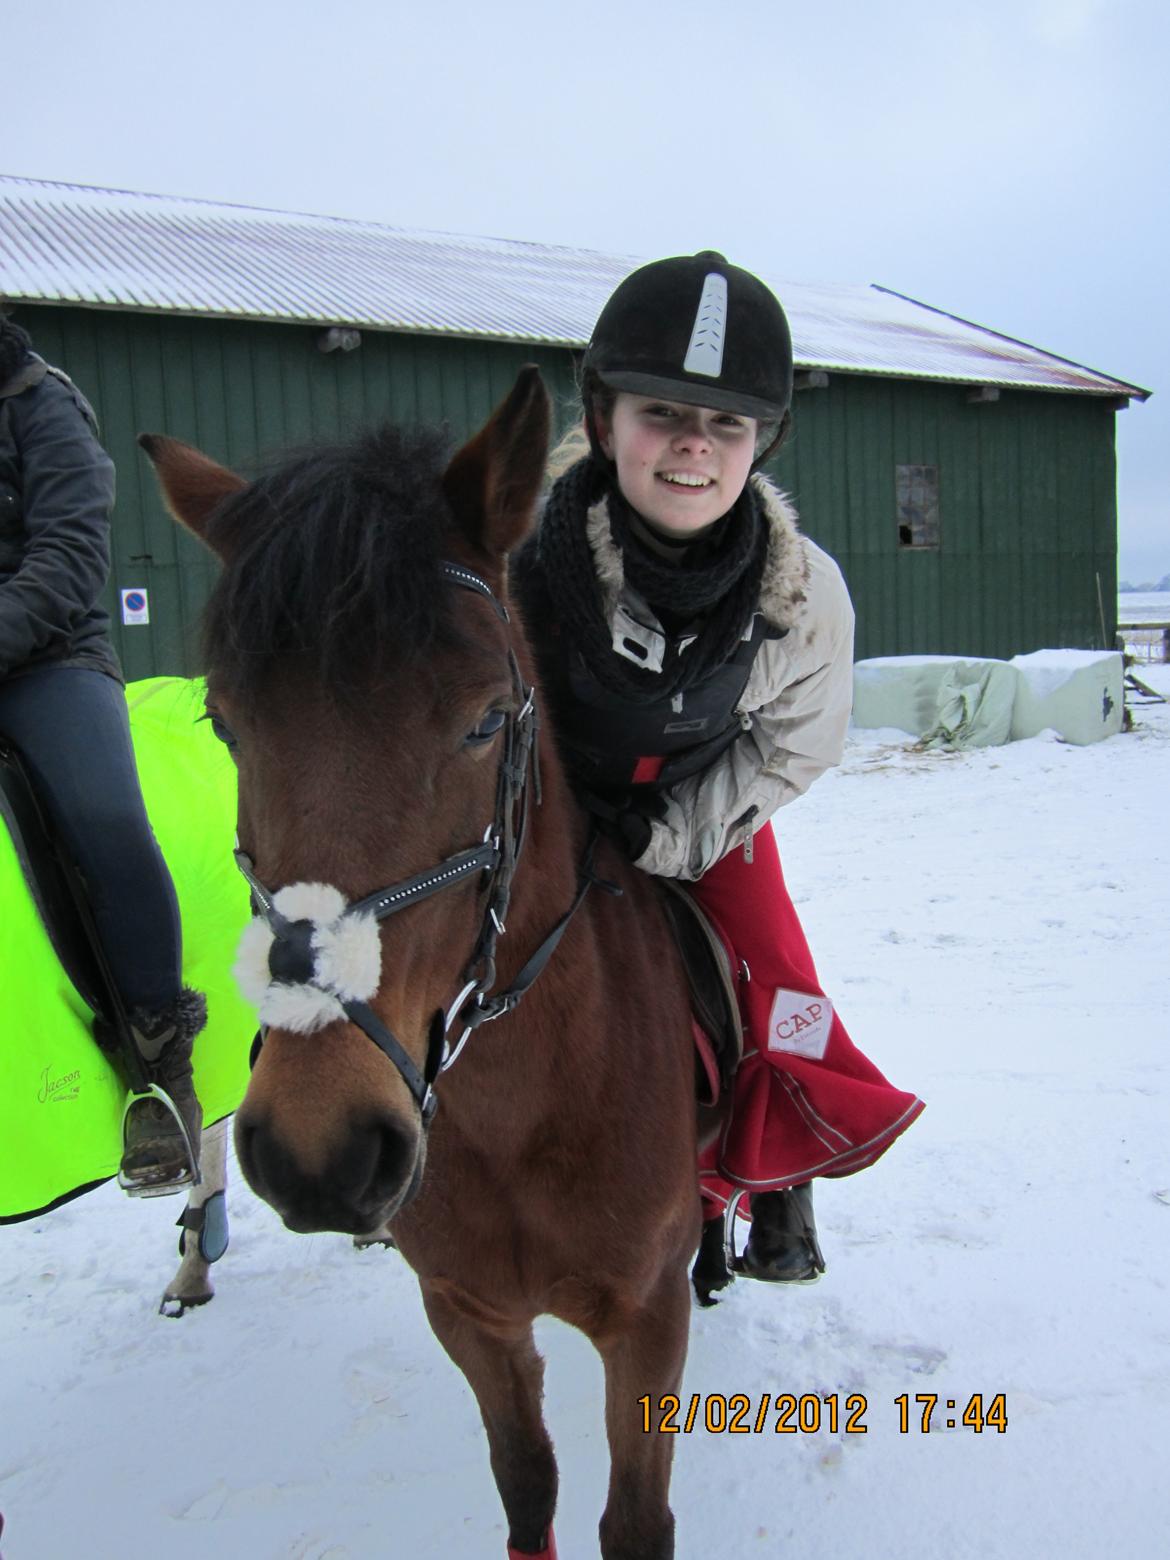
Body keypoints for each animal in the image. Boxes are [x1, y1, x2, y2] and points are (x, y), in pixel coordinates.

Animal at [144, 368, 714, 1560]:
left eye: (487, 723)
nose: (320, 1151)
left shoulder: (647, 1323)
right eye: (225, 723)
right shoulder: (469, 1315)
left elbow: (634, 1519)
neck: (526, 1109)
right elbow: (527, 1483)